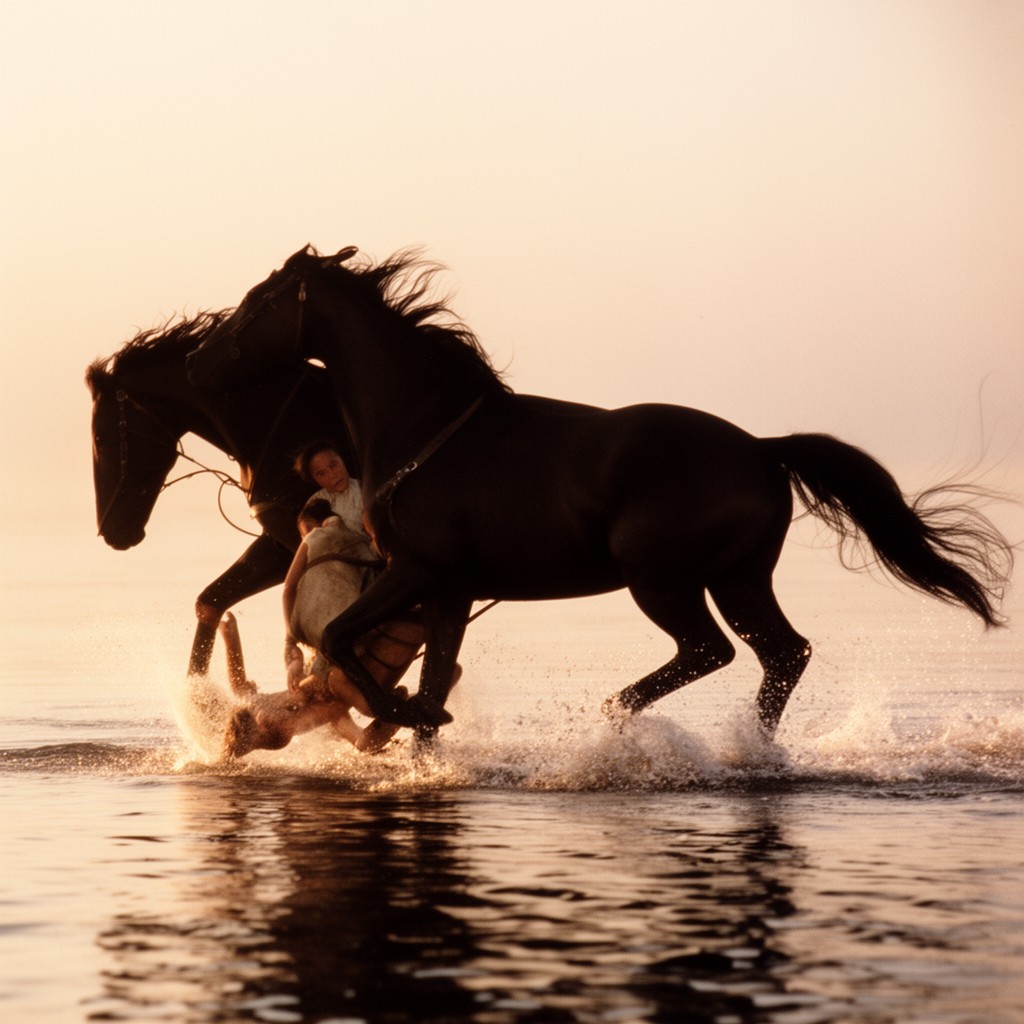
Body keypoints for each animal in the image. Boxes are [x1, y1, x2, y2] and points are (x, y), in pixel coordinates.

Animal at [185, 245, 1014, 735]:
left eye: (261, 300)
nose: (203, 355)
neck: (425, 423)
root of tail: (758, 451)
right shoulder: (449, 589)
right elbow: (430, 678)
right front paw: (413, 725)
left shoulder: (417, 571)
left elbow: (337, 636)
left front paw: (391, 709)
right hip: (740, 577)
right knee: (784, 654)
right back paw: (748, 750)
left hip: (662, 580)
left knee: (711, 651)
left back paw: (617, 718)